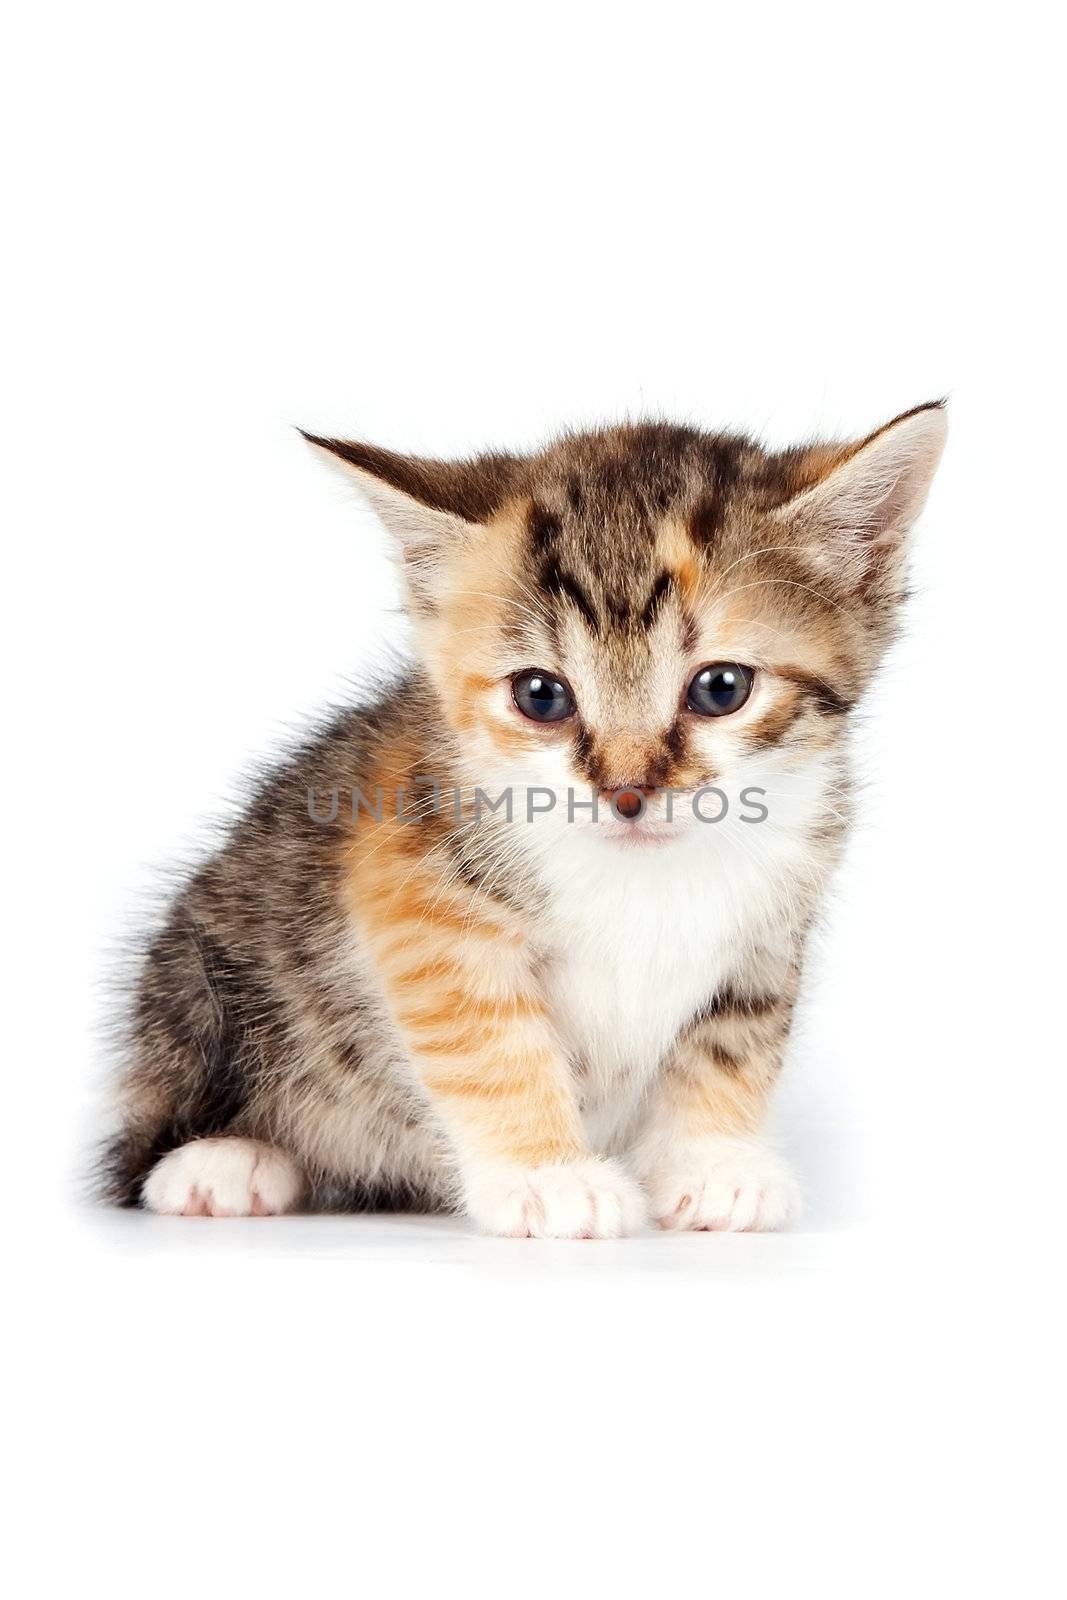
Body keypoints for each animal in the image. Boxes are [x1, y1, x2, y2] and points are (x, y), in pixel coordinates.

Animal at [99, 403, 947, 1235]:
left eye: (721, 689)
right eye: (541, 695)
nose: (626, 792)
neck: (646, 872)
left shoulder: (771, 933)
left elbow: (731, 1039)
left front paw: (712, 1165)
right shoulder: (408, 890)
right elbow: (487, 1040)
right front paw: (549, 1175)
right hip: (200, 983)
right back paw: (226, 1162)